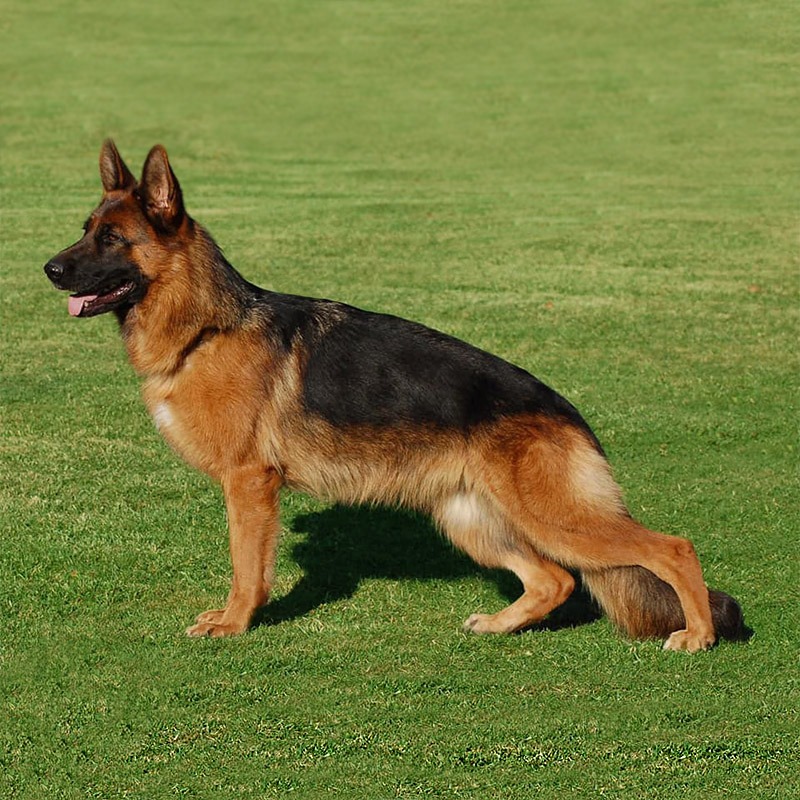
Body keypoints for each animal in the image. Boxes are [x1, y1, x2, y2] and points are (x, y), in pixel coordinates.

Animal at [43, 139, 744, 648]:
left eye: (112, 239)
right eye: (85, 229)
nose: (47, 269)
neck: (207, 327)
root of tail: (568, 414)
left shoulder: (249, 485)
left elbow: (248, 569)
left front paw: (235, 624)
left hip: (555, 518)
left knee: (672, 549)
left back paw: (699, 635)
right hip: (471, 519)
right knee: (554, 580)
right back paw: (500, 626)